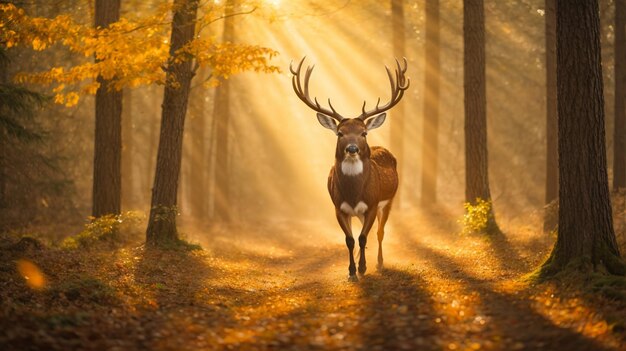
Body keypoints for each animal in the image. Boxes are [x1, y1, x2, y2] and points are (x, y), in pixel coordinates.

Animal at [288, 58, 408, 284]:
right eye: (340, 133)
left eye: (364, 132)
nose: (352, 148)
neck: (353, 193)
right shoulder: (339, 207)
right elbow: (350, 239)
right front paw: (352, 271)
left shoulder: (371, 204)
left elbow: (363, 237)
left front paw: (362, 268)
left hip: (389, 201)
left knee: (379, 232)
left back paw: (379, 263)